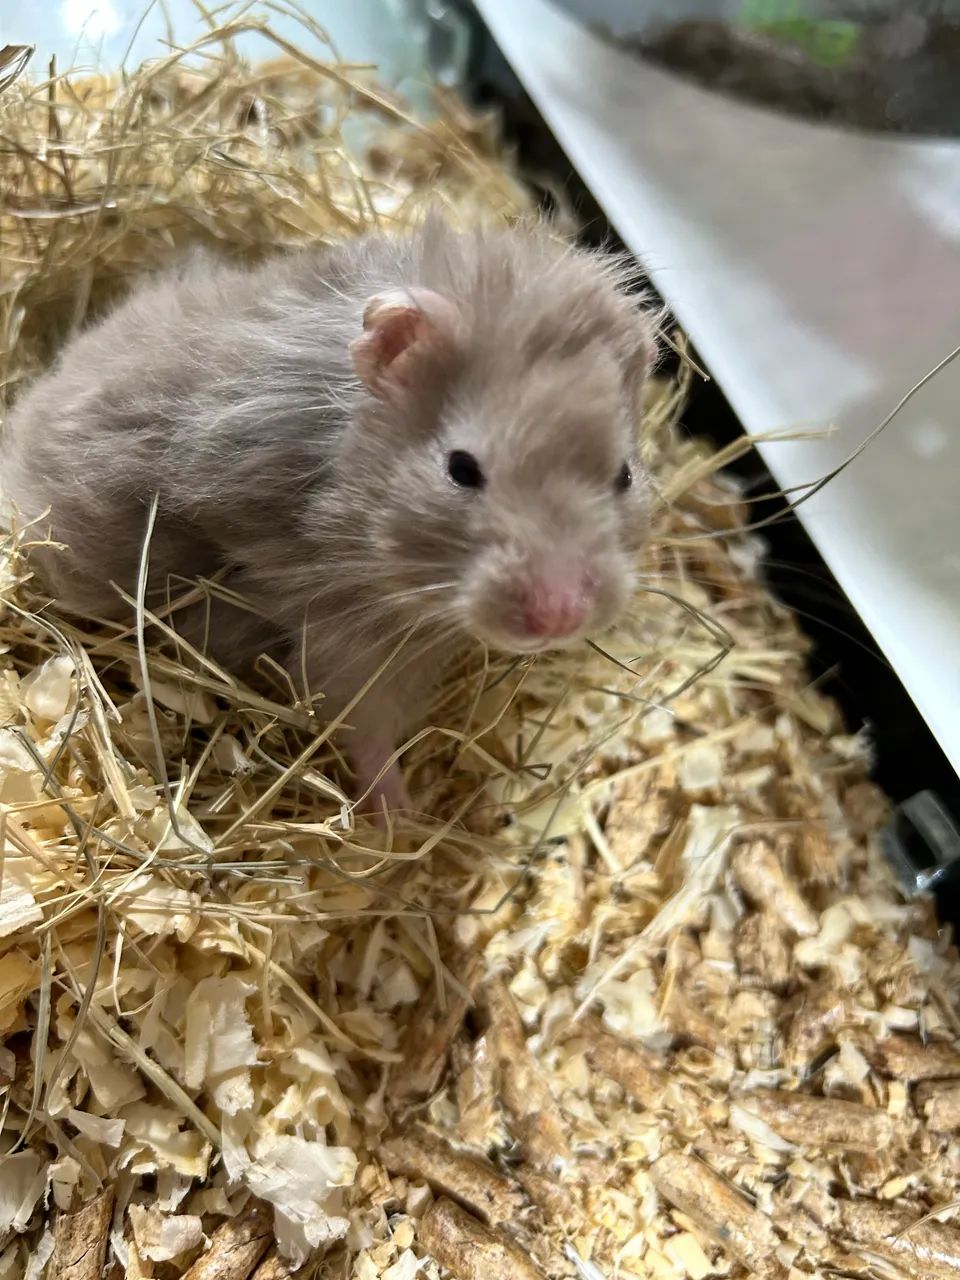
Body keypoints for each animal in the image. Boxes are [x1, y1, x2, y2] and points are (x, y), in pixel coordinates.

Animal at [1, 216, 658, 820]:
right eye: (462, 469)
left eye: (624, 475)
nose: (562, 616)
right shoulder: (340, 629)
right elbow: (361, 724)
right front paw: (402, 822)